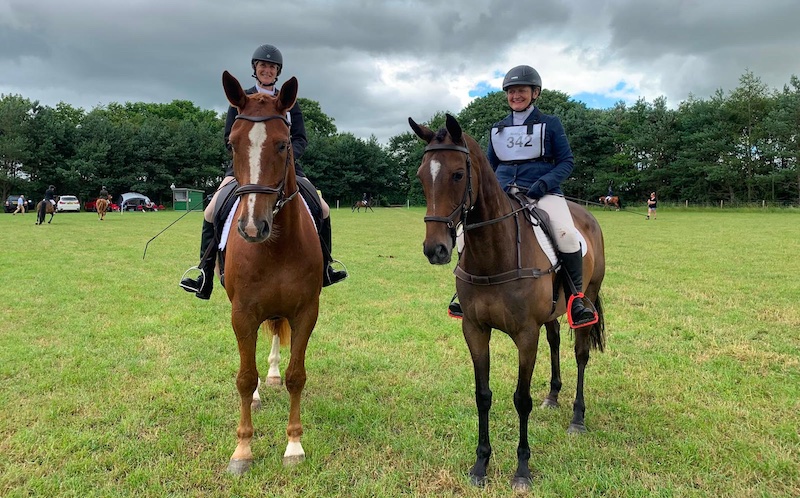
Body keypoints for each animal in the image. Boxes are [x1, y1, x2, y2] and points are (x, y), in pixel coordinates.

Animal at [219, 71, 323, 475]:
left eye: (282, 145)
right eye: (232, 144)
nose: (252, 227)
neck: (275, 245)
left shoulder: (305, 311)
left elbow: (297, 376)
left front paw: (293, 445)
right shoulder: (242, 313)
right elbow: (245, 378)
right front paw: (242, 451)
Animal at [410, 114, 606, 492]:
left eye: (458, 174)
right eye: (422, 175)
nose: (435, 249)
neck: (494, 254)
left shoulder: (525, 335)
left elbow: (521, 399)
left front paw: (522, 470)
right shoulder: (475, 330)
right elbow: (482, 395)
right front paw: (480, 464)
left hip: (587, 295)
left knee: (581, 354)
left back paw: (577, 417)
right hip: (552, 314)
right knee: (555, 340)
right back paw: (553, 397)